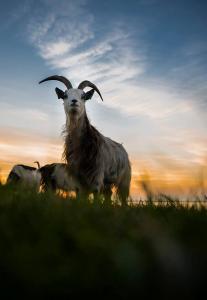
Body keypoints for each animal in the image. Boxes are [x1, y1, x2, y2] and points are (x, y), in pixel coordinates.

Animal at [38, 74, 131, 204]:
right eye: (65, 95)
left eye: (83, 96)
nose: (74, 101)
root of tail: (123, 150)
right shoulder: (78, 178)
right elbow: (82, 198)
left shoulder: (97, 176)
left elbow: (96, 196)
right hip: (107, 183)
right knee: (108, 195)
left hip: (124, 180)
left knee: (122, 197)